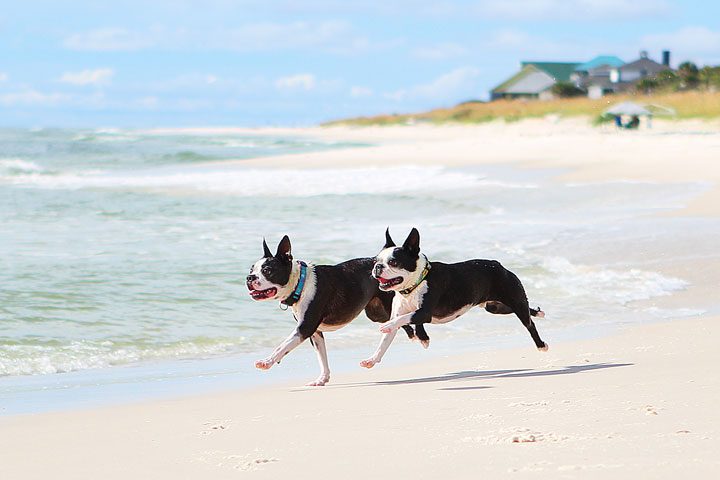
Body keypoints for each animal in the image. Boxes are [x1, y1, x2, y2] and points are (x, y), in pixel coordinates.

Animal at [248, 236, 416, 386]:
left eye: (267, 271)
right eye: (251, 269)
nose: (249, 278)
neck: (300, 283)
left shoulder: (305, 328)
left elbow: (282, 346)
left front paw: (267, 362)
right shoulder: (315, 333)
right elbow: (321, 356)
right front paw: (322, 379)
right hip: (377, 313)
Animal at [358, 229, 548, 368]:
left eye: (393, 262)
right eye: (375, 261)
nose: (377, 267)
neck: (414, 285)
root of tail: (498, 265)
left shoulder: (424, 313)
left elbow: (404, 318)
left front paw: (388, 325)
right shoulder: (411, 313)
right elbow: (384, 343)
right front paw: (372, 360)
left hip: (514, 300)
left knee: (529, 324)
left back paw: (541, 344)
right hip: (495, 307)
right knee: (524, 310)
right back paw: (538, 312)